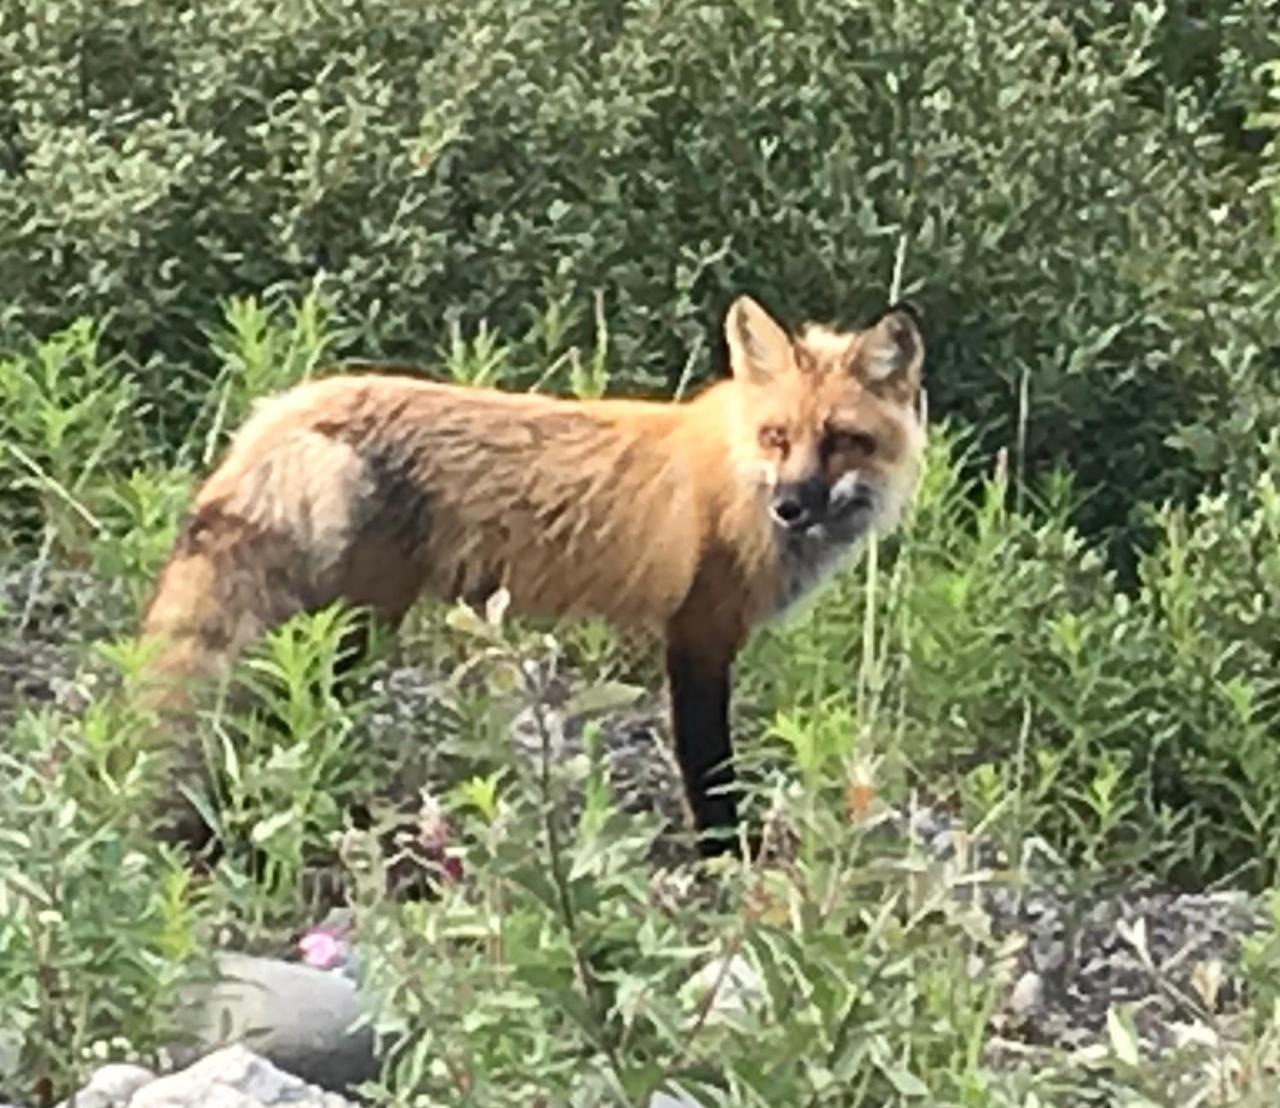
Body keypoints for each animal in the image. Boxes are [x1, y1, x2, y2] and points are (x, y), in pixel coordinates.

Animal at [140, 295, 926, 854]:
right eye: (777, 437)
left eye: (843, 440)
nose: (791, 505)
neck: (736, 473)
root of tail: (282, 409)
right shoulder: (699, 635)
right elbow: (710, 771)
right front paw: (726, 860)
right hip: (348, 627)